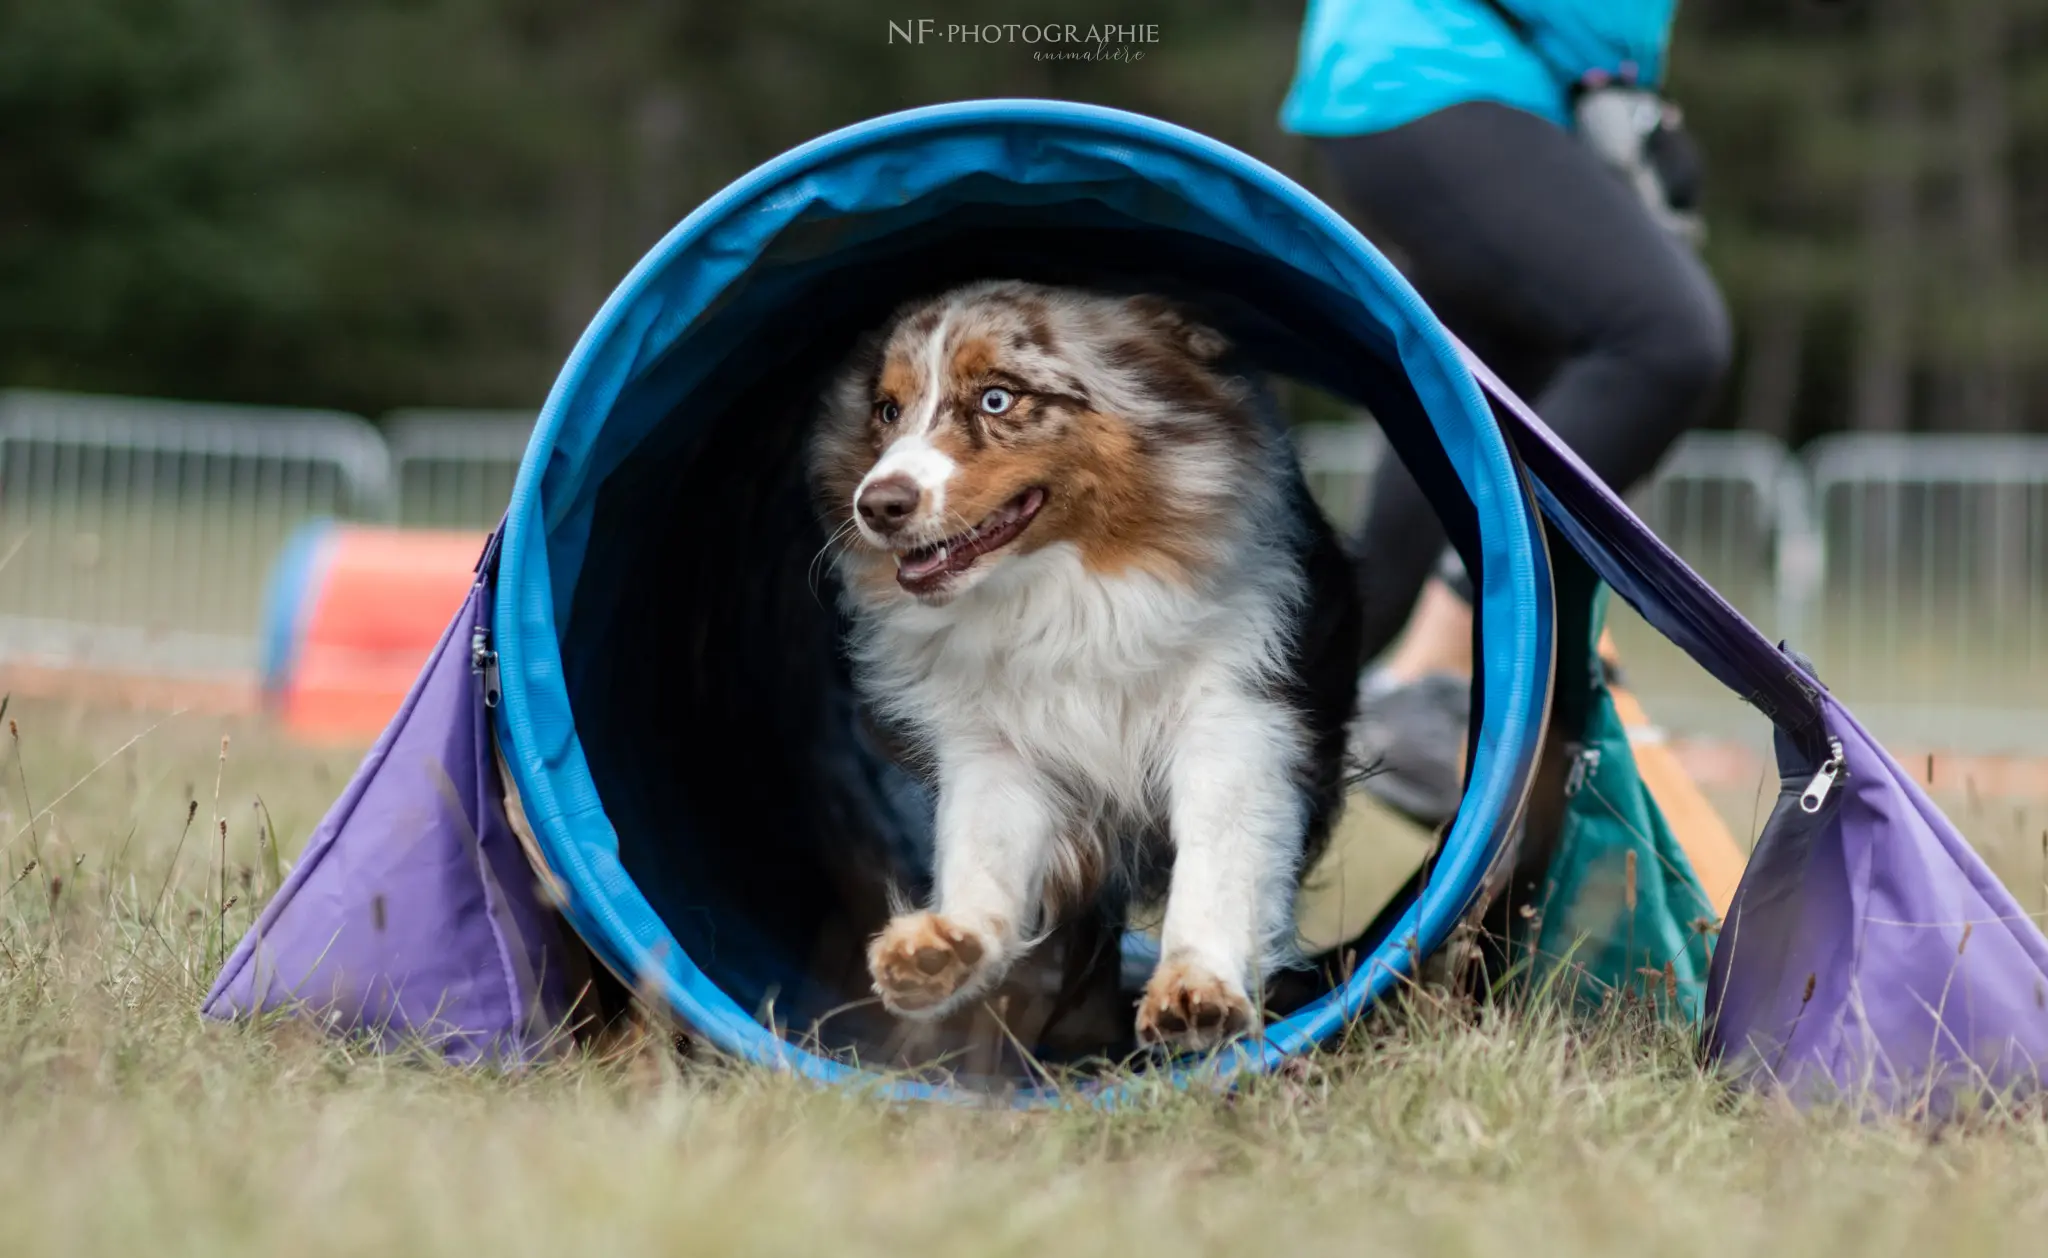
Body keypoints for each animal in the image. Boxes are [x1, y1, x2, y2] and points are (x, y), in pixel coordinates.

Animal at [802, 278, 1359, 1057]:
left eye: (997, 399)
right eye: (886, 410)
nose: (877, 505)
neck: (1062, 595)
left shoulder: (1235, 721)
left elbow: (1218, 859)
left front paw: (1197, 988)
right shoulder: (998, 745)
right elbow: (983, 844)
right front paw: (949, 945)